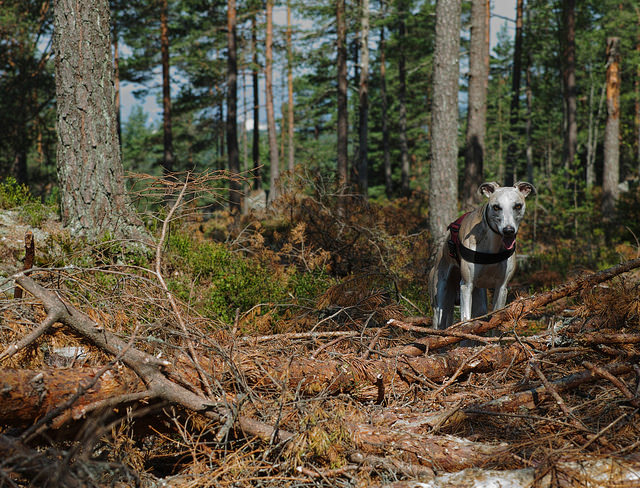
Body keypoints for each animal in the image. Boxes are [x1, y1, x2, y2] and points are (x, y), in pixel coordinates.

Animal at [429, 181, 535, 329]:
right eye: (496, 207)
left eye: (518, 206)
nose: (508, 230)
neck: (492, 246)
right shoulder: (466, 285)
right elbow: (465, 321)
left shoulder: (501, 288)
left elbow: (496, 320)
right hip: (441, 303)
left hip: (479, 300)